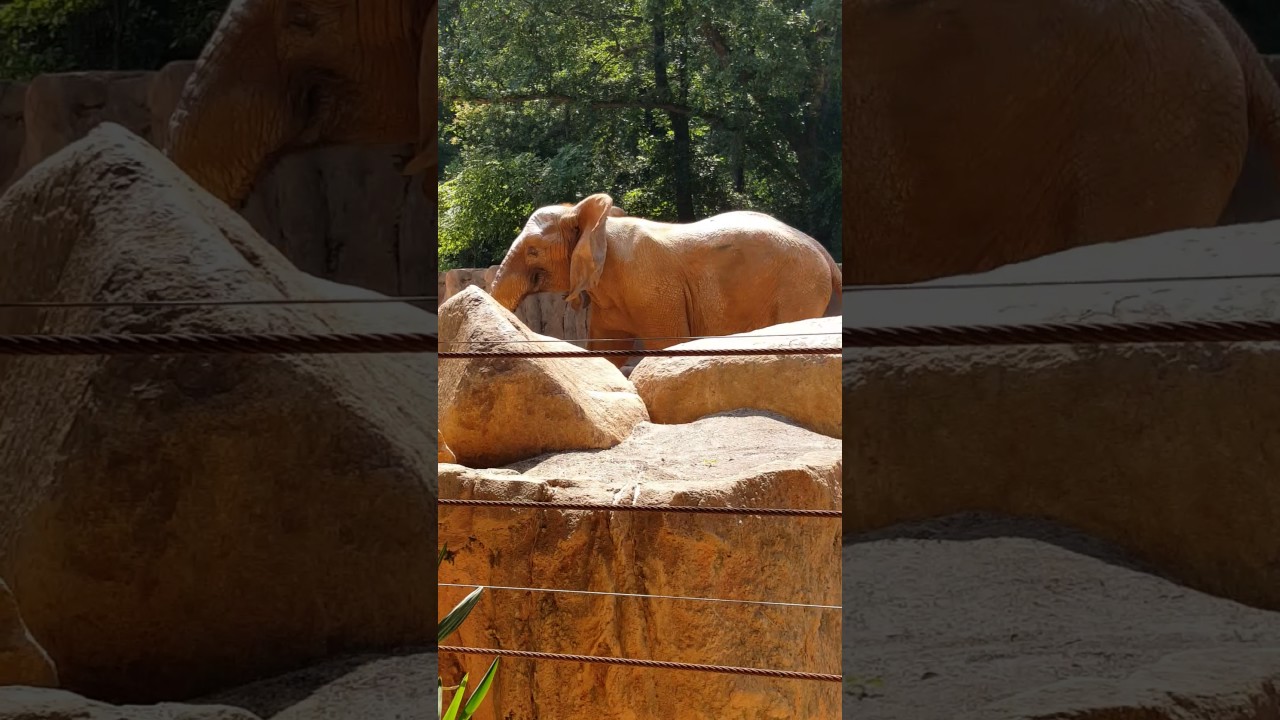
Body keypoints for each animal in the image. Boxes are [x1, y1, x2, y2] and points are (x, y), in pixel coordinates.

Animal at [488, 194, 843, 368]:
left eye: (533, 251)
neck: (598, 225)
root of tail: (826, 256)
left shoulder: (652, 290)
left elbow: (667, 344)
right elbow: (604, 353)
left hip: (798, 289)